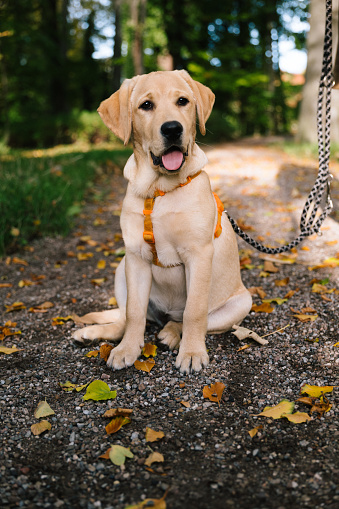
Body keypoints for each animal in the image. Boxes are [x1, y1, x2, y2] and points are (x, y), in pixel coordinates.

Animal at [73, 70, 254, 374]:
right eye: (146, 105)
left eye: (183, 101)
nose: (172, 129)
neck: (159, 190)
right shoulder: (135, 257)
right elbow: (134, 313)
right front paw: (128, 350)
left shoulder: (199, 254)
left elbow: (194, 312)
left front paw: (192, 353)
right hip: (120, 268)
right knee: (126, 318)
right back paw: (97, 333)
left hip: (241, 302)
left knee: (187, 319)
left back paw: (171, 333)